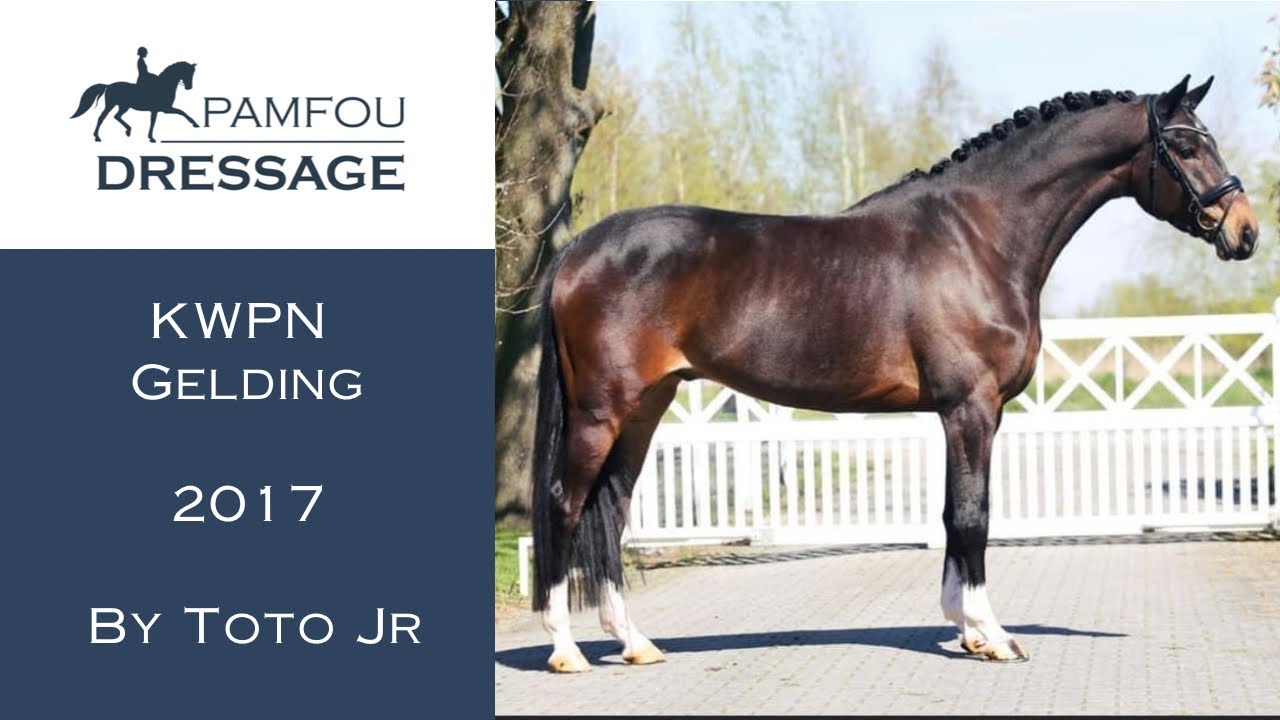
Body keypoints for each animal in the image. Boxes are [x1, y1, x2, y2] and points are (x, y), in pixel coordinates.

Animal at [69, 61, 199, 143]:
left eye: (193, 73)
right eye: (187, 72)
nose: (189, 87)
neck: (163, 86)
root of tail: (109, 85)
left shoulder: (157, 110)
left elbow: (153, 122)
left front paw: (150, 137)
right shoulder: (165, 109)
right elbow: (181, 112)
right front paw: (195, 123)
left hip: (124, 106)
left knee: (117, 116)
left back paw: (128, 130)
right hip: (111, 105)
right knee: (102, 117)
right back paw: (97, 137)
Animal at [528, 75, 1259, 672]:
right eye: (1186, 146)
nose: (1245, 230)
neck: (977, 236)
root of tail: (577, 252)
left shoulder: (964, 412)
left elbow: (951, 514)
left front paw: (965, 630)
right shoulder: (971, 406)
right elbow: (973, 514)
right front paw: (993, 635)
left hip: (644, 408)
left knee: (612, 507)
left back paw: (634, 643)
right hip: (601, 410)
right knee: (566, 504)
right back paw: (566, 650)